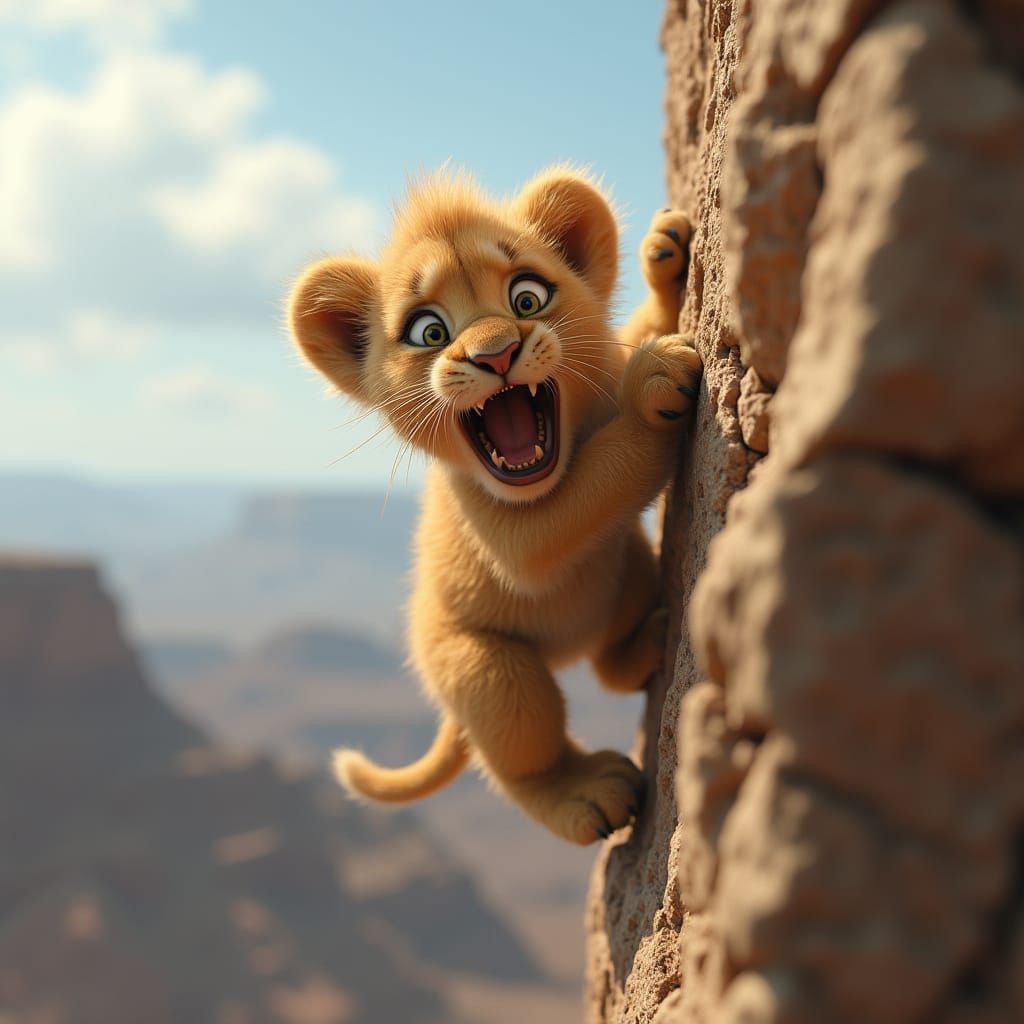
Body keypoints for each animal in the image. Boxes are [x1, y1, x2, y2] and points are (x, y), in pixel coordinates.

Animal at [287, 167, 700, 844]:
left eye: (527, 298)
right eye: (429, 331)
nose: (496, 354)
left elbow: (632, 334)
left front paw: (665, 255)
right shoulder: (501, 530)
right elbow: (579, 501)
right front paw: (656, 383)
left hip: (630, 564)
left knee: (610, 665)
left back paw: (648, 643)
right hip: (485, 671)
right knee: (515, 758)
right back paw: (585, 791)